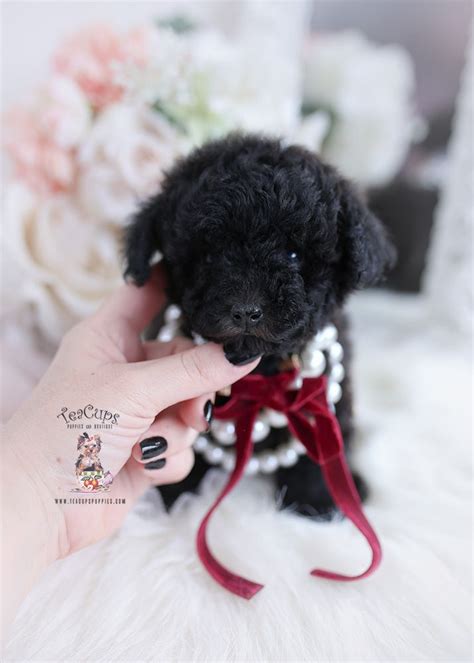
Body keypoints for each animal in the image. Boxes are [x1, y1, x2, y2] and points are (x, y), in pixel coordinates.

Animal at [124, 134, 394, 520]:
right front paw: (176, 494)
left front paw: (318, 499)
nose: (246, 311)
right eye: (208, 257)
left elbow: (317, 449)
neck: (261, 371)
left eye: (294, 255)